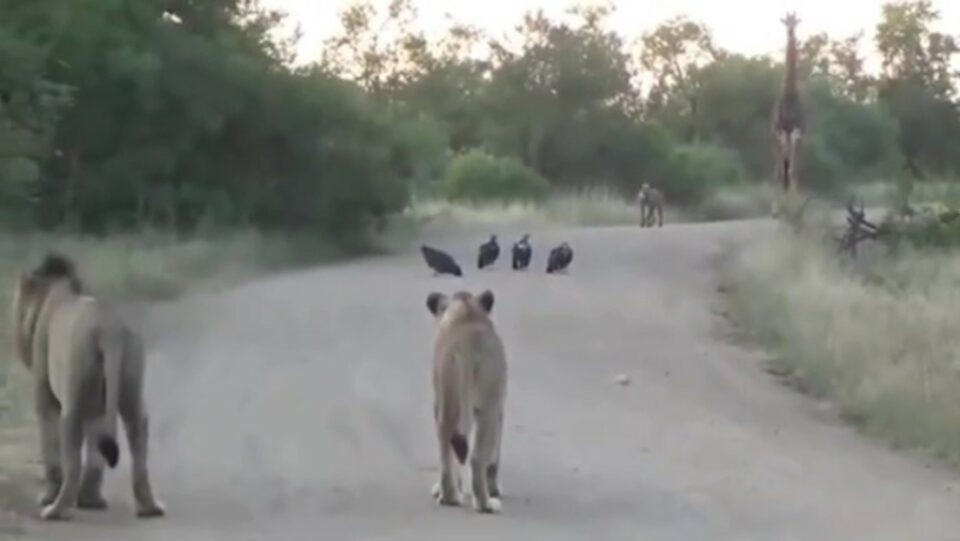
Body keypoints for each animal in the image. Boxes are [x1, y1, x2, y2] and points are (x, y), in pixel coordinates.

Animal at [11, 253, 165, 521]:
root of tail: (110, 328)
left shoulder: (45, 392)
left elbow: (50, 442)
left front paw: (48, 496)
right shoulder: (97, 401)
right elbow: (95, 449)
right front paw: (90, 500)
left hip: (73, 396)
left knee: (72, 458)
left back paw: (55, 509)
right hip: (129, 384)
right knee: (136, 434)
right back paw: (149, 507)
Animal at [425, 290, 506, 514]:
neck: (465, 311)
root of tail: (466, 345)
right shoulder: (499, 407)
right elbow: (494, 458)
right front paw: (494, 489)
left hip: (447, 402)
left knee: (446, 451)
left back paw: (448, 496)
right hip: (487, 406)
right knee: (477, 458)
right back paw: (486, 503)